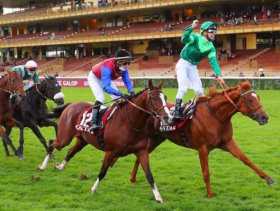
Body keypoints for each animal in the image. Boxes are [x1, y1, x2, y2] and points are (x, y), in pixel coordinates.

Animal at [37, 79, 173, 203]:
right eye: (154, 98)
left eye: (165, 97)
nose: (168, 118)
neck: (129, 122)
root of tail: (70, 105)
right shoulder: (111, 151)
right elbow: (103, 171)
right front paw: (93, 189)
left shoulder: (142, 151)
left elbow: (149, 174)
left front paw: (159, 197)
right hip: (64, 138)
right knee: (52, 143)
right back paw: (43, 166)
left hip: (82, 140)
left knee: (70, 151)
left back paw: (59, 166)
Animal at [130, 80, 276, 198]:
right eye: (250, 100)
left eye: (258, 97)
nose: (265, 117)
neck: (215, 116)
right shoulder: (202, 148)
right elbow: (206, 173)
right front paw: (210, 195)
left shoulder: (228, 142)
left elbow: (246, 160)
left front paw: (269, 179)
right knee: (140, 155)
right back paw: (132, 178)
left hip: (157, 139)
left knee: (140, 156)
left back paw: (133, 179)